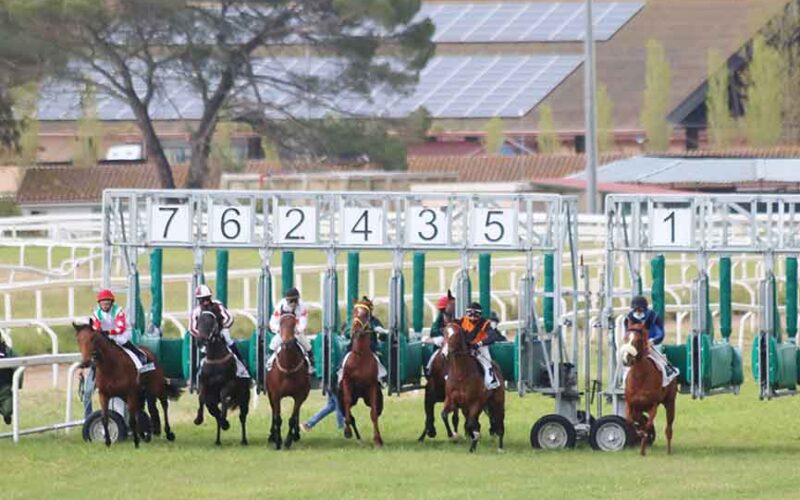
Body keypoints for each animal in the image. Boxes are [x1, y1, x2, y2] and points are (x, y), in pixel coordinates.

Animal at [191, 310, 248, 448]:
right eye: (198, 321)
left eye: (212, 322)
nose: (201, 340)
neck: (215, 358)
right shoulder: (204, 384)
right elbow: (201, 398)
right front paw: (198, 419)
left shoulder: (229, 384)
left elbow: (224, 398)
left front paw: (225, 421)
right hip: (212, 402)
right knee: (215, 414)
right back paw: (218, 440)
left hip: (244, 398)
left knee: (242, 417)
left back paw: (243, 440)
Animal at [266, 310, 310, 452]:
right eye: (281, 323)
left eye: (294, 323)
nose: (287, 342)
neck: (288, 369)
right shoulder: (275, 395)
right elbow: (277, 418)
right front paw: (278, 440)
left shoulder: (299, 396)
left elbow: (292, 418)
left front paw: (288, 441)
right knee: (273, 412)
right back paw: (272, 435)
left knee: (296, 414)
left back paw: (296, 435)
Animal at [338, 298, 384, 448]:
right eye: (354, 312)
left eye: (365, 314)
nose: (355, 329)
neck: (360, 356)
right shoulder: (347, 382)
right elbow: (347, 405)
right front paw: (347, 431)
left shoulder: (372, 385)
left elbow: (374, 413)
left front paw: (377, 440)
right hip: (350, 396)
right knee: (348, 411)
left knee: (375, 411)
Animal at [440, 322, 504, 456]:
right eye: (444, 333)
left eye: (456, 335)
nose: (444, 354)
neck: (461, 375)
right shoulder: (451, 400)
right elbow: (444, 415)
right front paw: (453, 436)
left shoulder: (475, 403)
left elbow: (470, 424)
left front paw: (474, 437)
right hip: (467, 407)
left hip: (498, 403)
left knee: (499, 422)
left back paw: (500, 447)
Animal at [620, 322, 676, 456]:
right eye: (625, 338)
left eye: (638, 340)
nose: (626, 359)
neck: (640, 377)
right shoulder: (631, 404)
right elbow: (631, 421)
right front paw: (641, 436)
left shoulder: (653, 405)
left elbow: (647, 424)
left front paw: (644, 436)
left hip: (670, 403)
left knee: (669, 428)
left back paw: (668, 451)